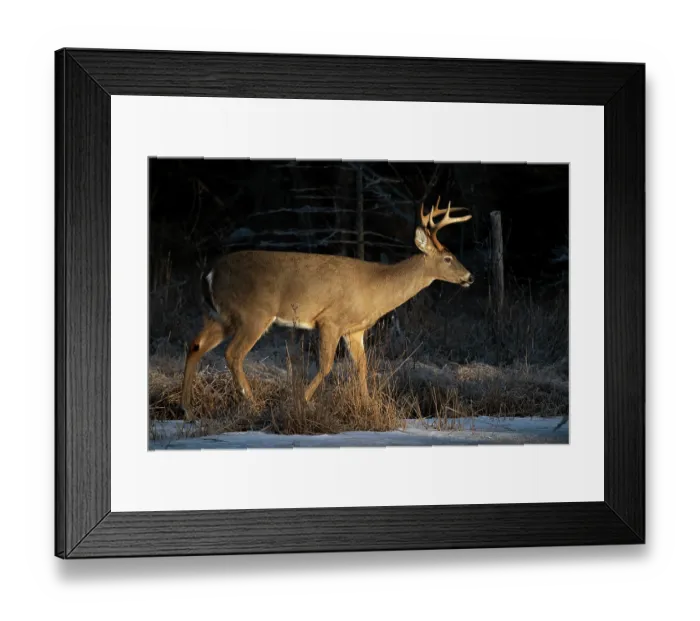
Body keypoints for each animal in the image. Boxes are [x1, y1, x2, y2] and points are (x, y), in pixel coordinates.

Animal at [179, 198, 474, 420]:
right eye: (448, 258)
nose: (469, 277)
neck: (378, 288)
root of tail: (210, 273)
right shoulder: (330, 320)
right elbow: (326, 365)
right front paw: (303, 401)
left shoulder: (355, 330)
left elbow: (362, 366)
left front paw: (367, 405)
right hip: (252, 314)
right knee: (233, 354)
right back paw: (251, 404)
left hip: (220, 316)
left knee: (195, 346)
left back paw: (187, 409)